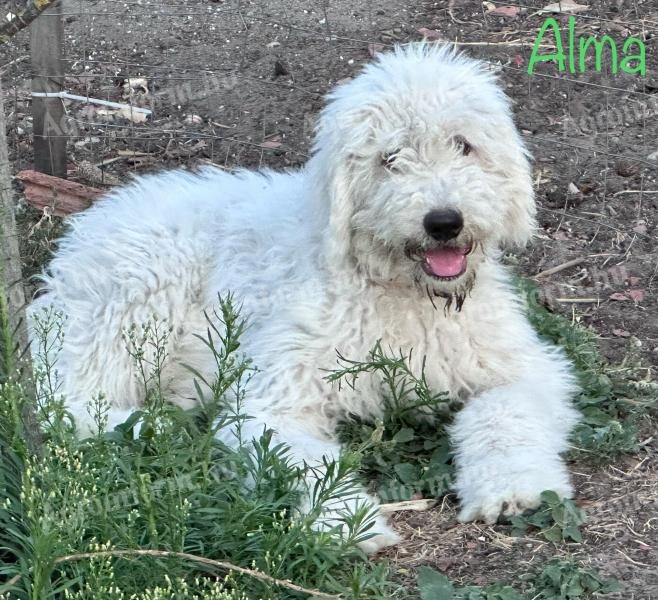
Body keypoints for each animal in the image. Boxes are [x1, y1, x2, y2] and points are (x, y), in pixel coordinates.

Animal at [29, 44, 580, 552]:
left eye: (463, 145)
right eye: (390, 158)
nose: (444, 221)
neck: (402, 292)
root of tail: (85, 228)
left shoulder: (523, 366)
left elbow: (505, 413)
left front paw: (511, 488)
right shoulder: (275, 396)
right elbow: (306, 460)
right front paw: (349, 522)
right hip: (139, 292)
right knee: (65, 400)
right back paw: (150, 425)